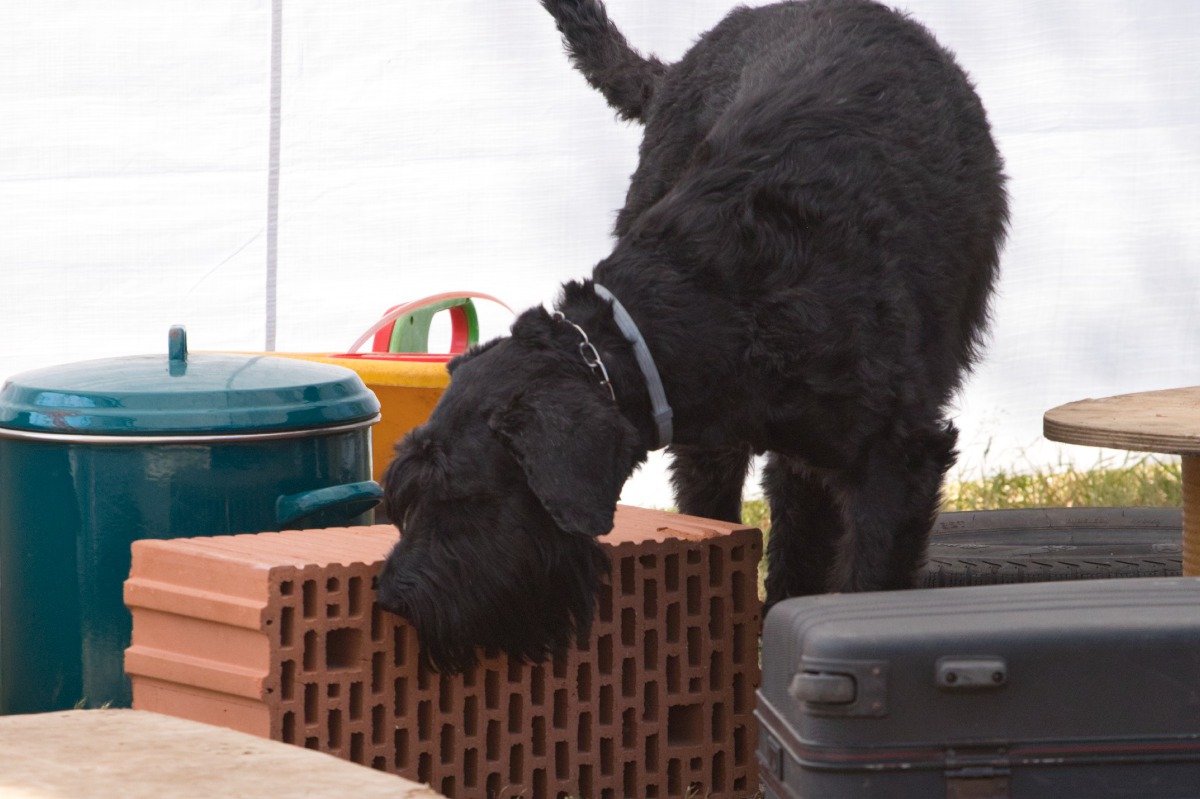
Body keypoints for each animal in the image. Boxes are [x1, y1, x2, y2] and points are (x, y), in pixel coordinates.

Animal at [378, 0, 1008, 673]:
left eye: (463, 499)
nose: (392, 598)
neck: (721, 297)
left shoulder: (897, 462)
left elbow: (868, 581)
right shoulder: (706, 448)